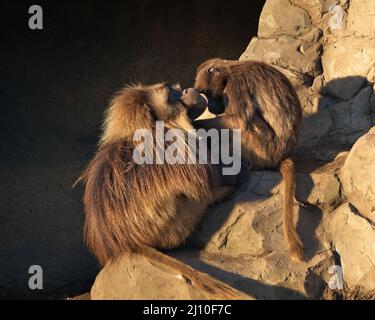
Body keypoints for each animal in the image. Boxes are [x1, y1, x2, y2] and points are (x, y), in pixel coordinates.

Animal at [76, 82, 250, 298]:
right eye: (171, 94)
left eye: (176, 89)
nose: (187, 90)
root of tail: (130, 243)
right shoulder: (172, 143)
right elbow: (203, 180)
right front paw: (232, 174)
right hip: (175, 224)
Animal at [194, 58, 306, 262]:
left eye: (207, 94)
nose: (211, 107)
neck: (229, 72)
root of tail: (282, 155)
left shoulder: (236, 87)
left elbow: (238, 120)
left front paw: (195, 124)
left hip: (262, 148)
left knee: (247, 125)